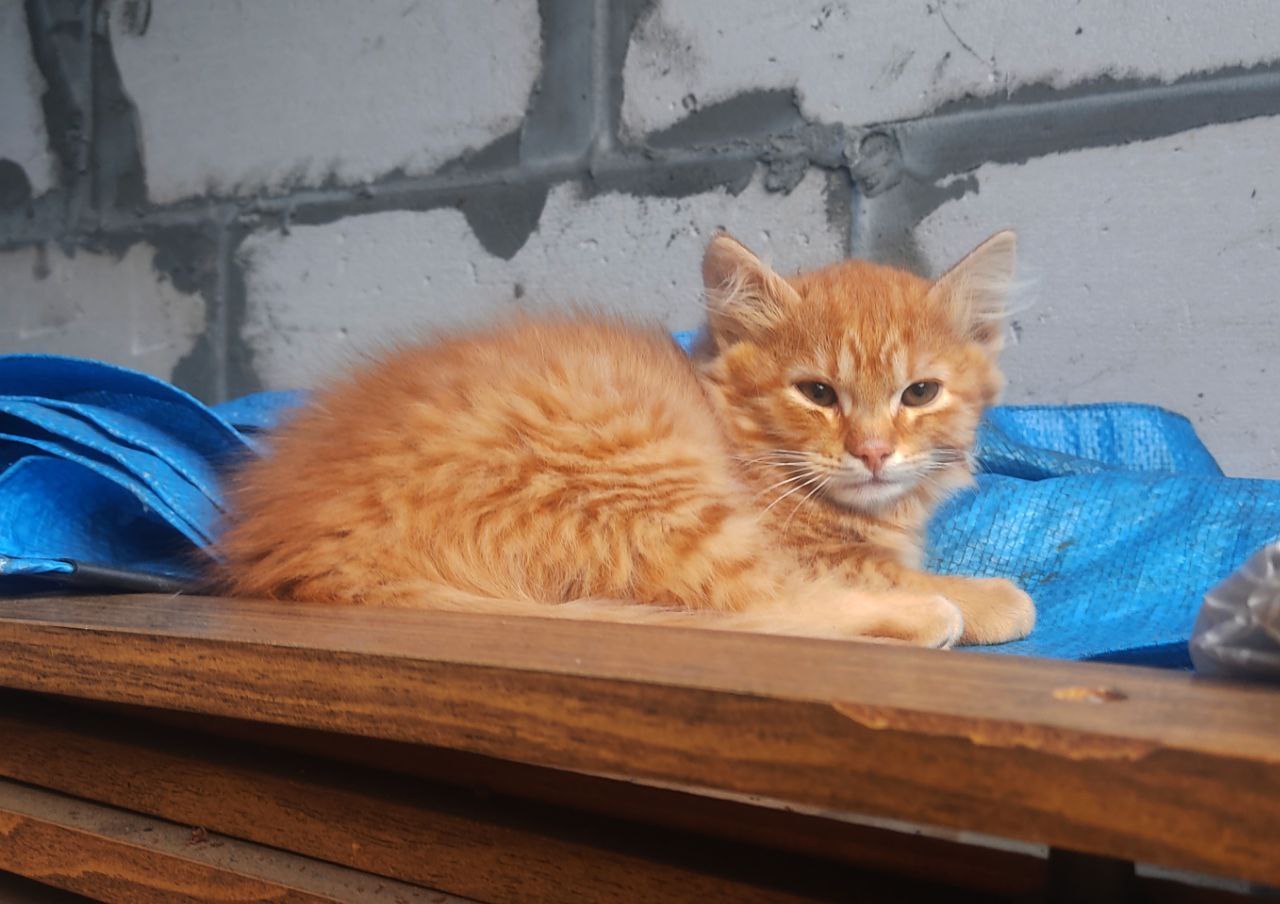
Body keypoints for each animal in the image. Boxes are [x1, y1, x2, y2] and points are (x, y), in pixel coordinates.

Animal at [218, 230, 1034, 648]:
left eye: (919, 393)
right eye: (818, 394)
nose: (871, 452)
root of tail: (305, 548)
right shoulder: (800, 544)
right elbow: (878, 572)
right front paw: (978, 596)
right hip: (643, 478)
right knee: (746, 606)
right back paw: (928, 619)